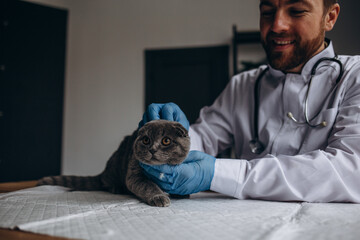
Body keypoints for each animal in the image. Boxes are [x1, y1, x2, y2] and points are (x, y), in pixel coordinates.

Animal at [38, 120, 191, 206]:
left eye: (166, 140)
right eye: (146, 140)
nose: (152, 149)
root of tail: (104, 172)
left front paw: (180, 192)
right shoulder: (134, 174)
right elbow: (148, 185)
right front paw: (159, 197)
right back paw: (117, 188)